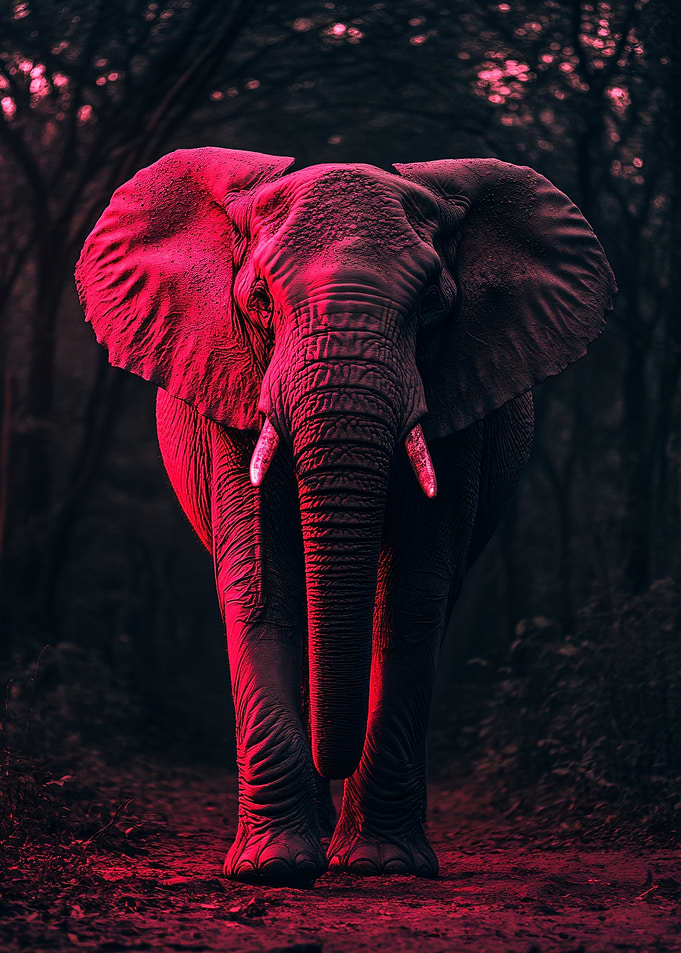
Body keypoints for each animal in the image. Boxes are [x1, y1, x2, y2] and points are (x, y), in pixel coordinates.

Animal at [75, 147, 615, 887]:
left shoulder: (459, 401)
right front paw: (273, 869)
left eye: (432, 305)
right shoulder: (230, 387)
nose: (333, 756)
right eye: (259, 300)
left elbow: (413, 594)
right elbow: (262, 587)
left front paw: (384, 865)